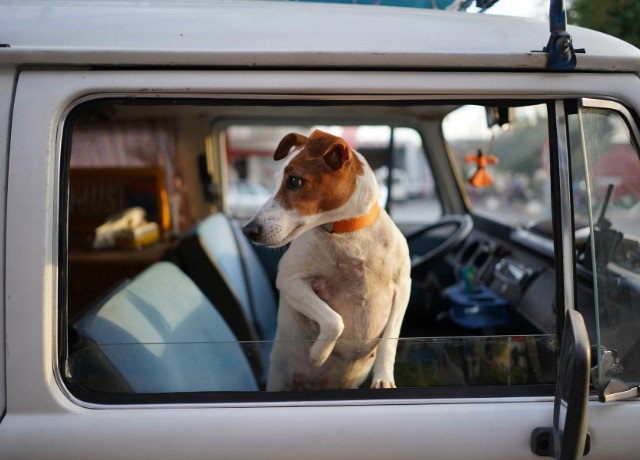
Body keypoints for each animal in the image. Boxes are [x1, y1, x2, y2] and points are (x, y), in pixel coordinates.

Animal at [242, 129, 412, 392]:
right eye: (276, 180)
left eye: (294, 181)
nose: (248, 230)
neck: (348, 235)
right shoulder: (290, 281)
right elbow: (334, 320)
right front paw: (318, 354)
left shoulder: (403, 287)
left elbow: (390, 339)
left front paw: (383, 378)